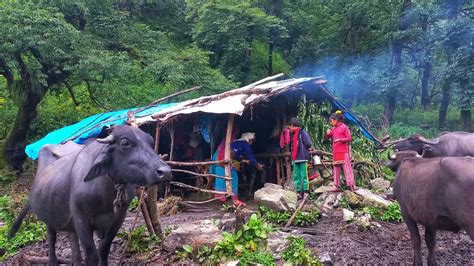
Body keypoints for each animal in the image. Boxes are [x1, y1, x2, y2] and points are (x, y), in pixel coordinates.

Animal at [9, 125, 171, 264]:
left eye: (151, 142)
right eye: (125, 143)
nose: (165, 172)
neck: (105, 196)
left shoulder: (118, 218)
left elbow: (104, 250)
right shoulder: (81, 218)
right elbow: (91, 255)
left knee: (72, 239)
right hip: (49, 217)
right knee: (51, 237)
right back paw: (52, 261)